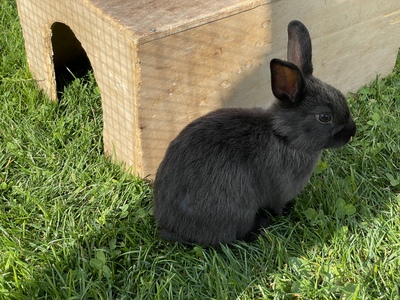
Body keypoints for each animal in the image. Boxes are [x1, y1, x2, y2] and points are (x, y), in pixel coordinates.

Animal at [153, 20, 356, 246]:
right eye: (324, 117)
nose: (352, 132)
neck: (284, 137)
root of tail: (172, 227)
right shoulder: (280, 190)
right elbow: (277, 205)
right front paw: (285, 212)